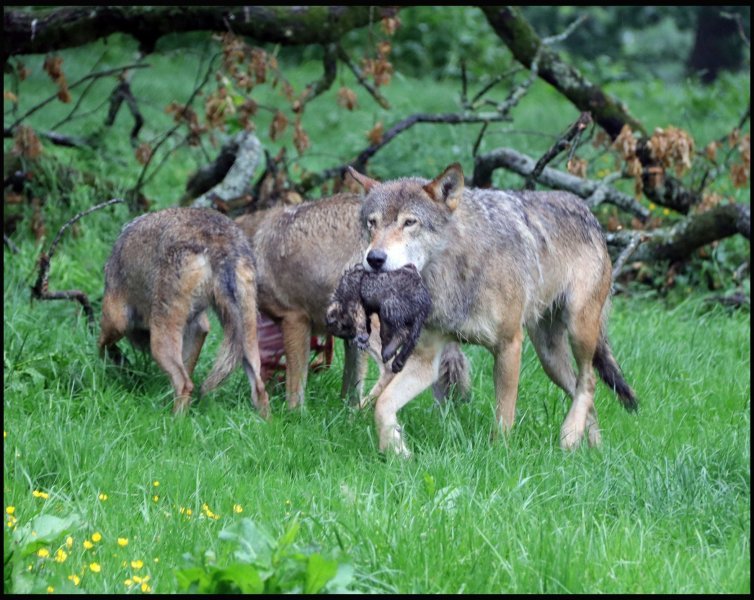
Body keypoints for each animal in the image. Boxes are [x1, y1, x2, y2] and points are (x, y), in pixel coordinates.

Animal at [96, 206, 268, 418]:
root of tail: (219, 239)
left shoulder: (115, 317)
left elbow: (101, 344)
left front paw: (110, 365)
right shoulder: (199, 326)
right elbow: (189, 363)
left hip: (159, 340)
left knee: (185, 384)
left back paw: (174, 421)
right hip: (247, 334)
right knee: (260, 389)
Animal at [235, 195, 470, 410]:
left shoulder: (295, 319)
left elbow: (295, 389)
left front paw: (294, 417)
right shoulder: (350, 337)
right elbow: (350, 386)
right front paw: (345, 417)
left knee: (391, 370)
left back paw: (366, 409)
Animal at [346, 163, 636, 454]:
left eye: (409, 222)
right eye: (372, 223)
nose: (374, 258)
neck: (453, 273)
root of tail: (588, 212)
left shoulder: (509, 345)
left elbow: (504, 418)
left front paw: (500, 456)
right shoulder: (426, 359)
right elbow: (382, 405)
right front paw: (397, 451)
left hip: (578, 330)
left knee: (588, 382)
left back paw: (570, 435)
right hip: (549, 357)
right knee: (582, 390)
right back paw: (592, 449)